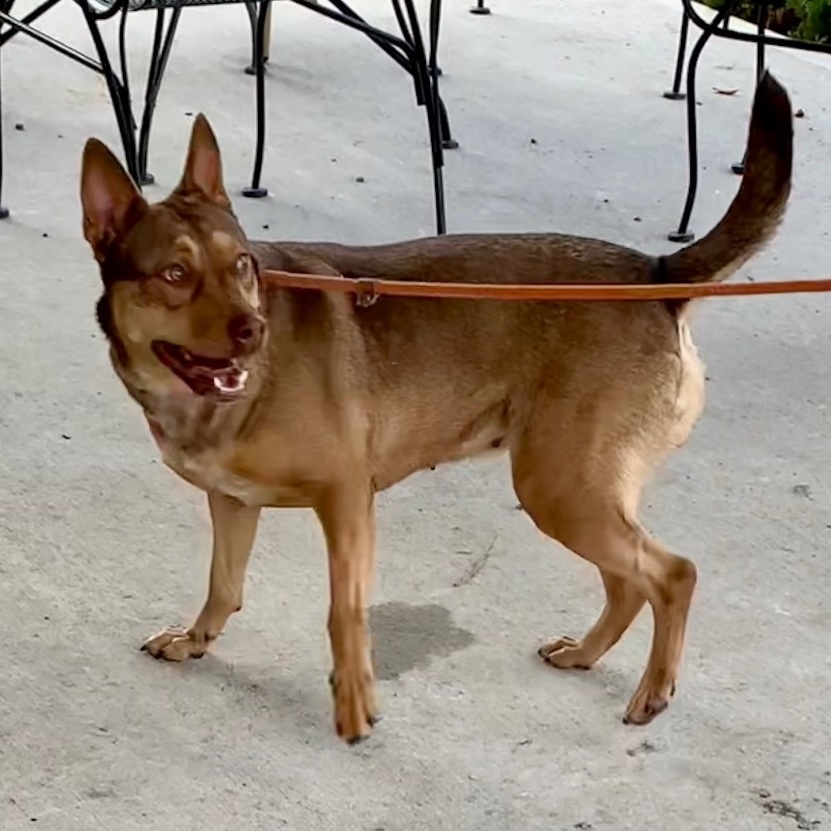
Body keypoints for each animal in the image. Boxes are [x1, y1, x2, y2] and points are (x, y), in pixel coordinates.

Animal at [81, 71, 796, 744]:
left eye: (243, 265)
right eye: (174, 274)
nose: (254, 330)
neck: (217, 399)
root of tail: (655, 273)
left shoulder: (347, 500)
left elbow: (344, 614)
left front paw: (355, 706)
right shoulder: (232, 503)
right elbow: (223, 587)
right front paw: (196, 640)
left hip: (560, 488)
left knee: (672, 574)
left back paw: (653, 690)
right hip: (578, 491)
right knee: (628, 581)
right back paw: (587, 655)